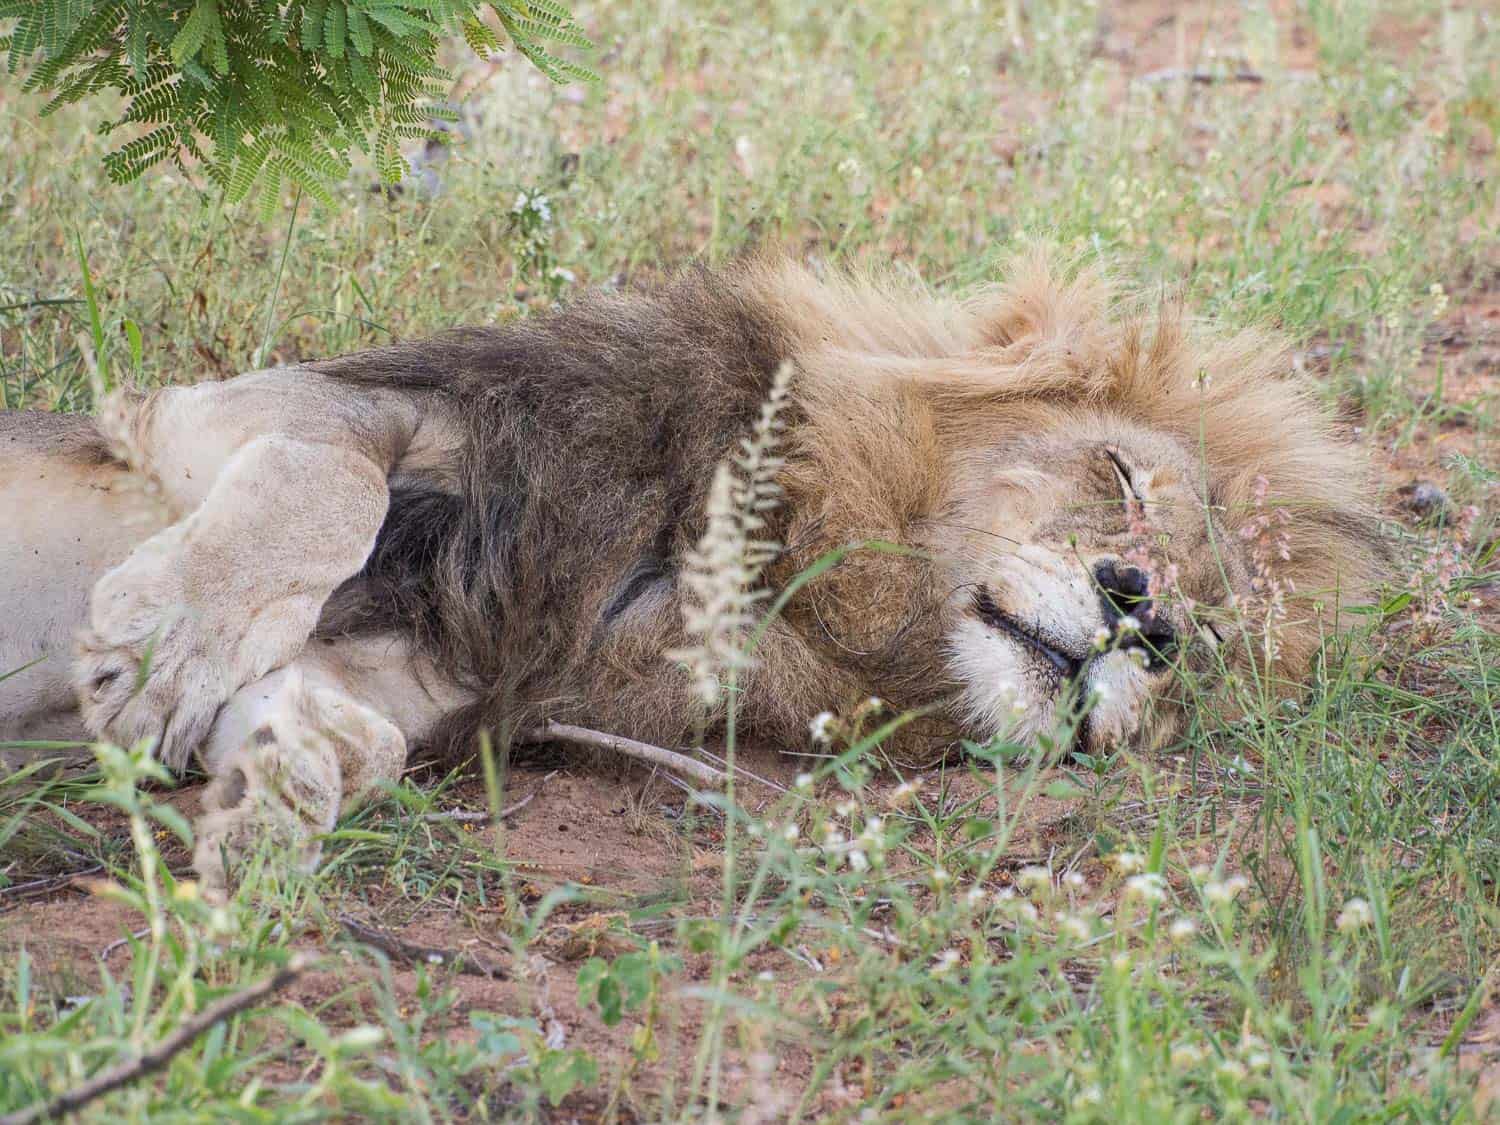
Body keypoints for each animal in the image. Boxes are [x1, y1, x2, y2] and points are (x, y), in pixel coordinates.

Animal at [0, 250, 1386, 894]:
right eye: (1121, 475)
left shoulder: (441, 679)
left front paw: (264, 813)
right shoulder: (237, 412)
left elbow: (353, 734)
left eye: (1206, 644)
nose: (1142, 620)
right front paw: (162, 644)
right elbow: (324, 486)